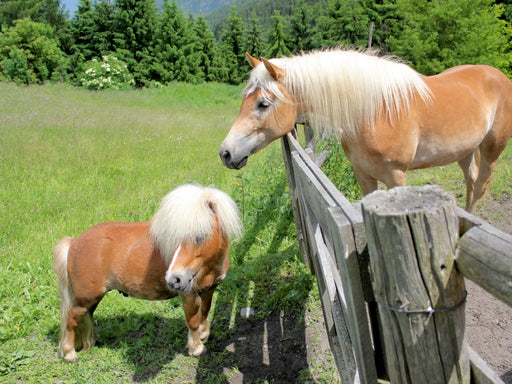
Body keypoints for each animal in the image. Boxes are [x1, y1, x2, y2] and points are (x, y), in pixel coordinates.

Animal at [53, 184, 242, 362]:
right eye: (174, 238)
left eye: (201, 236)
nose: (174, 280)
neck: (208, 266)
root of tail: (73, 242)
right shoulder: (189, 295)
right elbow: (193, 321)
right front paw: (197, 348)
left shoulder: (209, 290)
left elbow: (205, 312)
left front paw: (204, 334)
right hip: (85, 298)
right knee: (71, 319)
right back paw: (69, 353)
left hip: (92, 297)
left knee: (87, 316)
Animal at [218, 48, 512, 213]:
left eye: (263, 104)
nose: (226, 153)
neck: (374, 111)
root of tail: (496, 75)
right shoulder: (363, 174)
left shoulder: (396, 176)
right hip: (465, 151)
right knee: (471, 181)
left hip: (492, 148)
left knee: (481, 185)